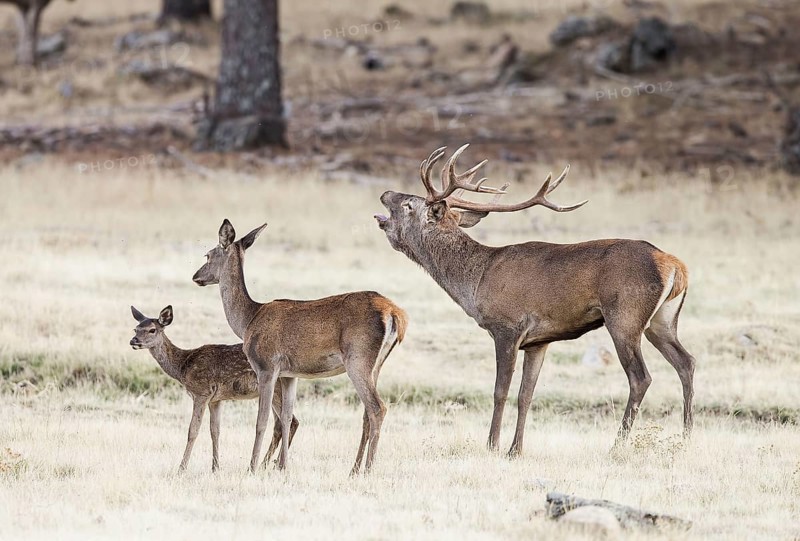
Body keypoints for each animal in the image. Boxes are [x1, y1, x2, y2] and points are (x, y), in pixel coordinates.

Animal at [129, 304, 299, 472]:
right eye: (135, 329)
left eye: (152, 330)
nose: (133, 341)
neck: (183, 366)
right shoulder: (215, 400)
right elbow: (215, 431)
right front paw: (215, 467)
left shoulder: (201, 392)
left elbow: (193, 430)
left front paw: (181, 469)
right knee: (284, 422)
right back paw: (269, 464)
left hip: (274, 388)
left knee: (290, 421)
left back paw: (272, 465)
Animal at [192, 220, 408, 474]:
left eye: (207, 255)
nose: (196, 276)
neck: (248, 320)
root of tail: (395, 314)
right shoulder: (289, 374)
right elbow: (286, 418)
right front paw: (283, 467)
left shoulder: (266, 366)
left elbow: (262, 420)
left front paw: (252, 468)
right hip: (377, 364)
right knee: (367, 413)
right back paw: (354, 470)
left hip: (358, 359)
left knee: (377, 408)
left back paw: (367, 470)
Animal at [374, 144, 696, 457]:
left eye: (409, 204)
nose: (385, 193)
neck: (475, 283)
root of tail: (676, 265)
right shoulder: (539, 341)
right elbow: (525, 395)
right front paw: (515, 449)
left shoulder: (507, 327)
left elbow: (500, 391)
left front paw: (492, 446)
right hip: (662, 321)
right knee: (686, 362)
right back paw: (686, 438)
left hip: (624, 317)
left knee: (641, 377)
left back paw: (616, 445)